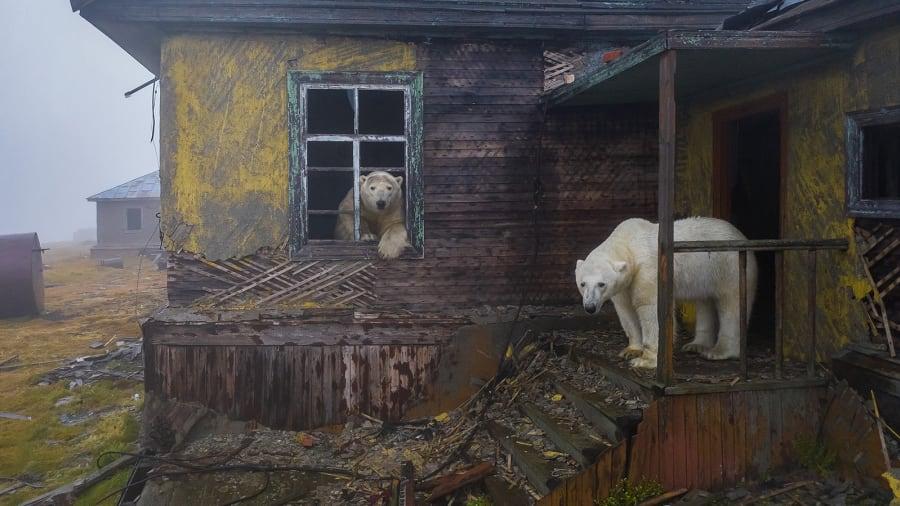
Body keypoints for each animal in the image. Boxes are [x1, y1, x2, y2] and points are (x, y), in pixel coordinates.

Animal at [574, 217, 757, 369]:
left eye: (601, 284)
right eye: (582, 284)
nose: (590, 307)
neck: (628, 243)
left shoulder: (648, 270)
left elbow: (651, 308)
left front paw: (645, 360)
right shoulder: (624, 285)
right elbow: (625, 310)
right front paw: (631, 350)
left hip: (728, 266)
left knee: (731, 304)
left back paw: (718, 351)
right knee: (704, 302)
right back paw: (696, 345)